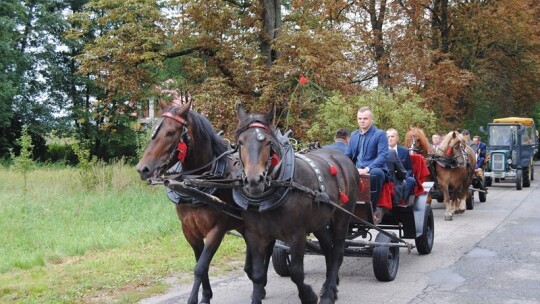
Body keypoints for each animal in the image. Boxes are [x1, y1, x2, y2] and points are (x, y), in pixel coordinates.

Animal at [136, 97, 248, 304]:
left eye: (171, 132)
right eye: (154, 130)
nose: (142, 169)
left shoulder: (216, 230)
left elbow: (200, 267)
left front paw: (194, 298)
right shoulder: (189, 230)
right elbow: (200, 263)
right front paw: (206, 296)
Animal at [233, 104, 356, 304]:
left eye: (268, 142)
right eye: (241, 142)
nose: (254, 181)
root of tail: (343, 158)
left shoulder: (297, 234)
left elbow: (296, 272)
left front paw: (308, 296)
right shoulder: (254, 235)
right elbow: (257, 274)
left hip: (342, 215)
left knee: (337, 251)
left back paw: (328, 292)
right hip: (320, 221)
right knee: (328, 248)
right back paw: (331, 283)